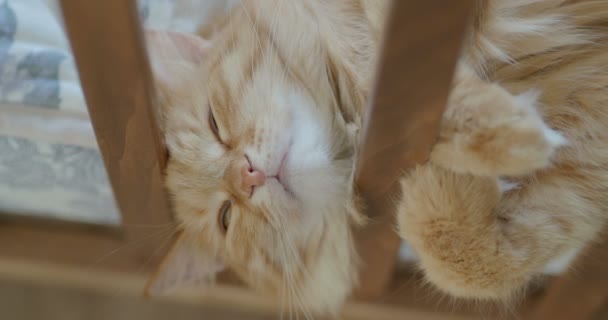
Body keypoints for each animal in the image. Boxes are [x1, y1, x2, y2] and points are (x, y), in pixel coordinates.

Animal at [144, 0, 608, 316]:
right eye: (226, 217)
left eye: (214, 124)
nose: (247, 175)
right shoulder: (587, 154)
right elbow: (465, 264)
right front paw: (442, 185)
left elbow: (395, 80)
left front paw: (501, 132)